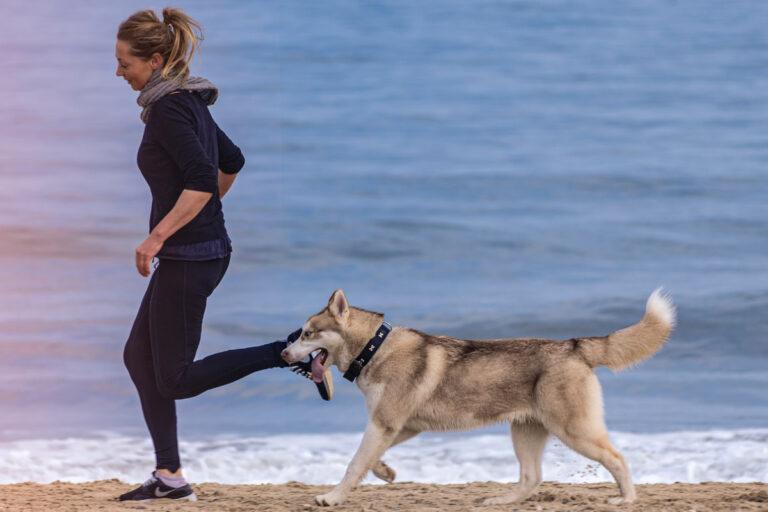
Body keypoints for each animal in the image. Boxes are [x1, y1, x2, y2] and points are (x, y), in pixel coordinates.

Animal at [282, 290, 672, 506]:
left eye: (307, 334)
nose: (284, 354)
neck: (374, 348)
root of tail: (574, 345)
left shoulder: (385, 423)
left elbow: (353, 463)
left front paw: (332, 497)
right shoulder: (398, 425)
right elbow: (370, 460)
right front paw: (386, 472)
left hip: (574, 430)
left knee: (617, 458)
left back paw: (626, 498)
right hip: (525, 431)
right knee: (531, 477)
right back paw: (501, 500)